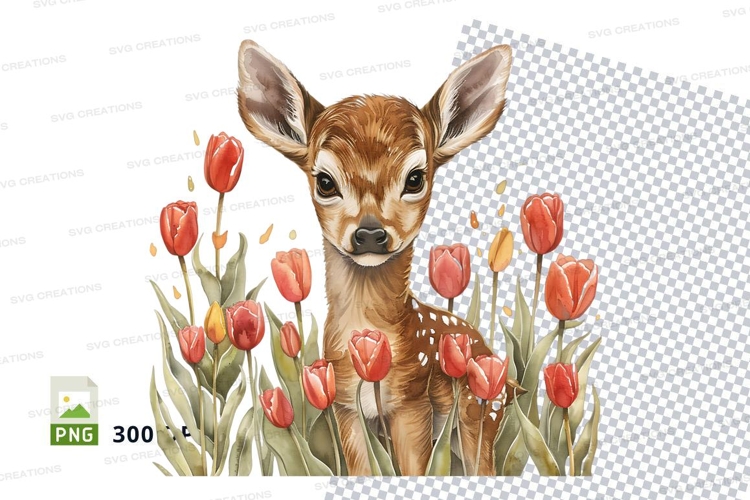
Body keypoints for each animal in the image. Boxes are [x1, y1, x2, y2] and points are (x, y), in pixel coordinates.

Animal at [236, 39, 524, 476]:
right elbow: (362, 469)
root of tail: (507, 379)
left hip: (480, 412)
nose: (370, 233)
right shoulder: (345, 406)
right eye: (325, 181)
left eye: (415, 178)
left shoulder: (412, 401)